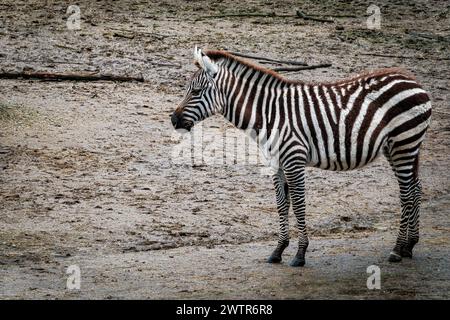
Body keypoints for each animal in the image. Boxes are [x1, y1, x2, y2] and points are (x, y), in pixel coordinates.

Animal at [171, 47, 430, 268]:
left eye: (195, 91)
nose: (173, 120)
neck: (269, 114)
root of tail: (414, 80)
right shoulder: (276, 163)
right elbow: (282, 204)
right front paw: (278, 250)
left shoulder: (294, 159)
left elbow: (298, 204)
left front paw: (300, 253)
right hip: (398, 147)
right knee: (415, 187)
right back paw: (409, 245)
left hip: (403, 142)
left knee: (406, 193)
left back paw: (397, 249)